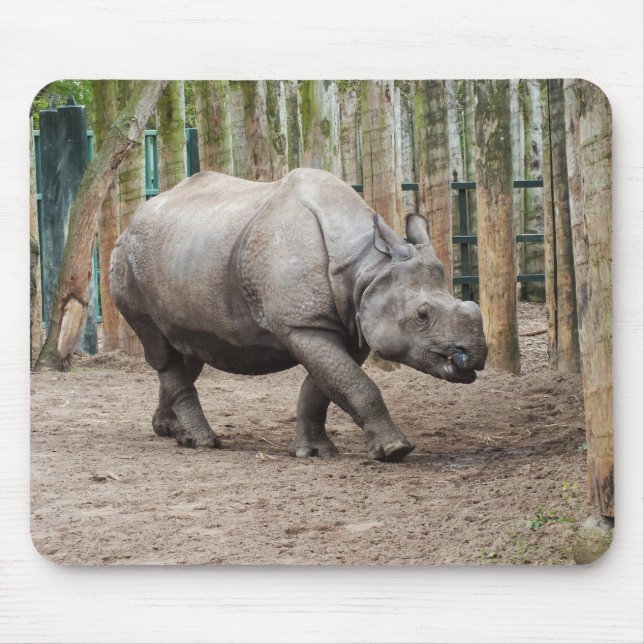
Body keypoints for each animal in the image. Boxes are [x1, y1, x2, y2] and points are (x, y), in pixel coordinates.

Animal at [110, 168, 487, 462]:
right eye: (423, 315)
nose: (476, 354)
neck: (367, 266)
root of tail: (129, 223)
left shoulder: (347, 325)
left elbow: (323, 387)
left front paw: (315, 452)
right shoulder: (303, 325)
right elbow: (354, 384)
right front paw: (395, 450)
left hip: (184, 252)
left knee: (185, 348)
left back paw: (170, 431)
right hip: (126, 260)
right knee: (160, 347)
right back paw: (203, 442)